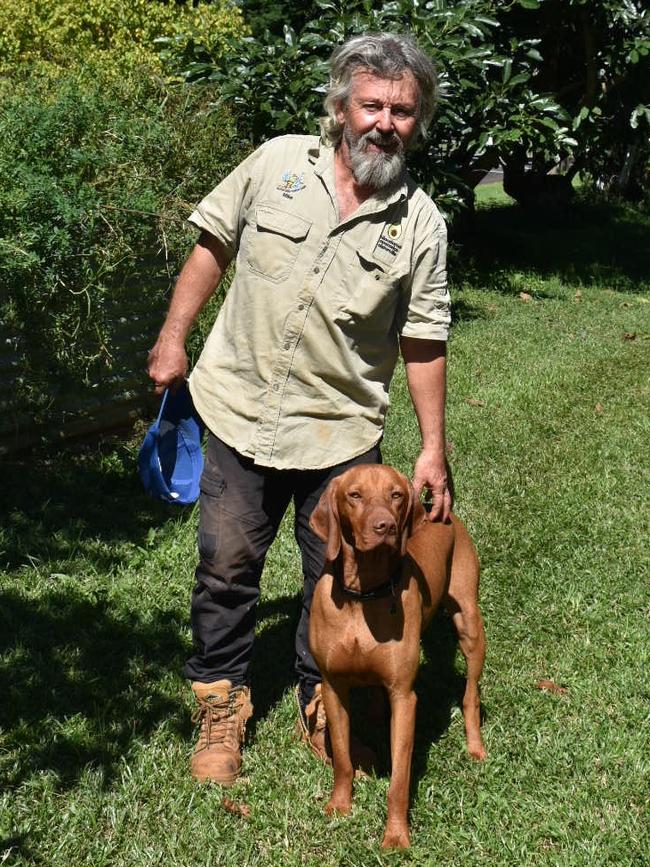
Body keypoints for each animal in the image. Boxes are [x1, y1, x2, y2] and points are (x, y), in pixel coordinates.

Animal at [306, 464, 484, 852]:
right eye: (355, 495)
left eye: (396, 495)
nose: (385, 526)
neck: (363, 593)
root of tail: (436, 508)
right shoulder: (333, 687)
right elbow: (342, 759)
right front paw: (339, 806)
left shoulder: (404, 696)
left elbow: (400, 780)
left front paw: (397, 835)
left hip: (470, 624)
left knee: (471, 694)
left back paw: (476, 745)